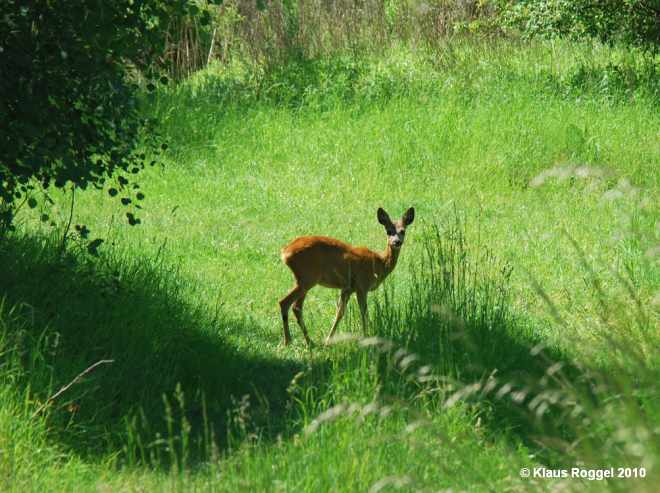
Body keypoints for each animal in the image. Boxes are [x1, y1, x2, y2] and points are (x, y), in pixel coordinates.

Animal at [280, 207, 416, 346]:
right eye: (388, 231)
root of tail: (285, 253)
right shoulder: (362, 286)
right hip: (308, 278)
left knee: (296, 307)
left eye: (403, 231)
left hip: (303, 279)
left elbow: (339, 312)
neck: (379, 263)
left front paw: (328, 341)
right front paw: (366, 337)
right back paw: (289, 341)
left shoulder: (347, 288)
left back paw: (307, 341)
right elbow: (364, 312)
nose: (397, 242)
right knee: (285, 302)